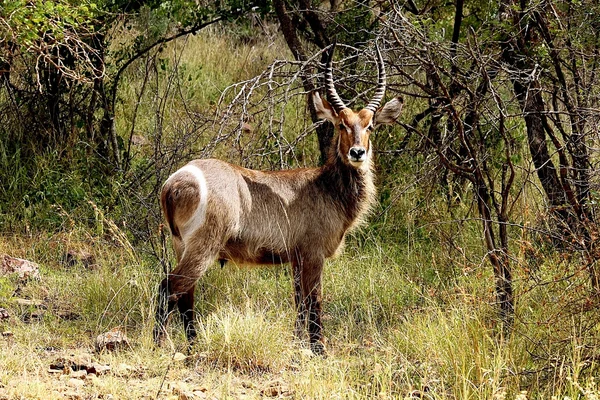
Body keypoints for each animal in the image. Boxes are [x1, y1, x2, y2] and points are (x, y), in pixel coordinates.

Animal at [156, 43, 404, 354]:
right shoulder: (313, 254)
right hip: (204, 247)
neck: (327, 188)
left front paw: (298, 346)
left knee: (185, 297)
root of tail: (174, 182)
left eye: (370, 126)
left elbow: (299, 305)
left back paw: (192, 346)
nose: (357, 153)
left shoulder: (296, 259)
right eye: (341, 125)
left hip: (182, 247)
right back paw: (160, 345)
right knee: (169, 288)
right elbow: (314, 303)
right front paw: (319, 350)